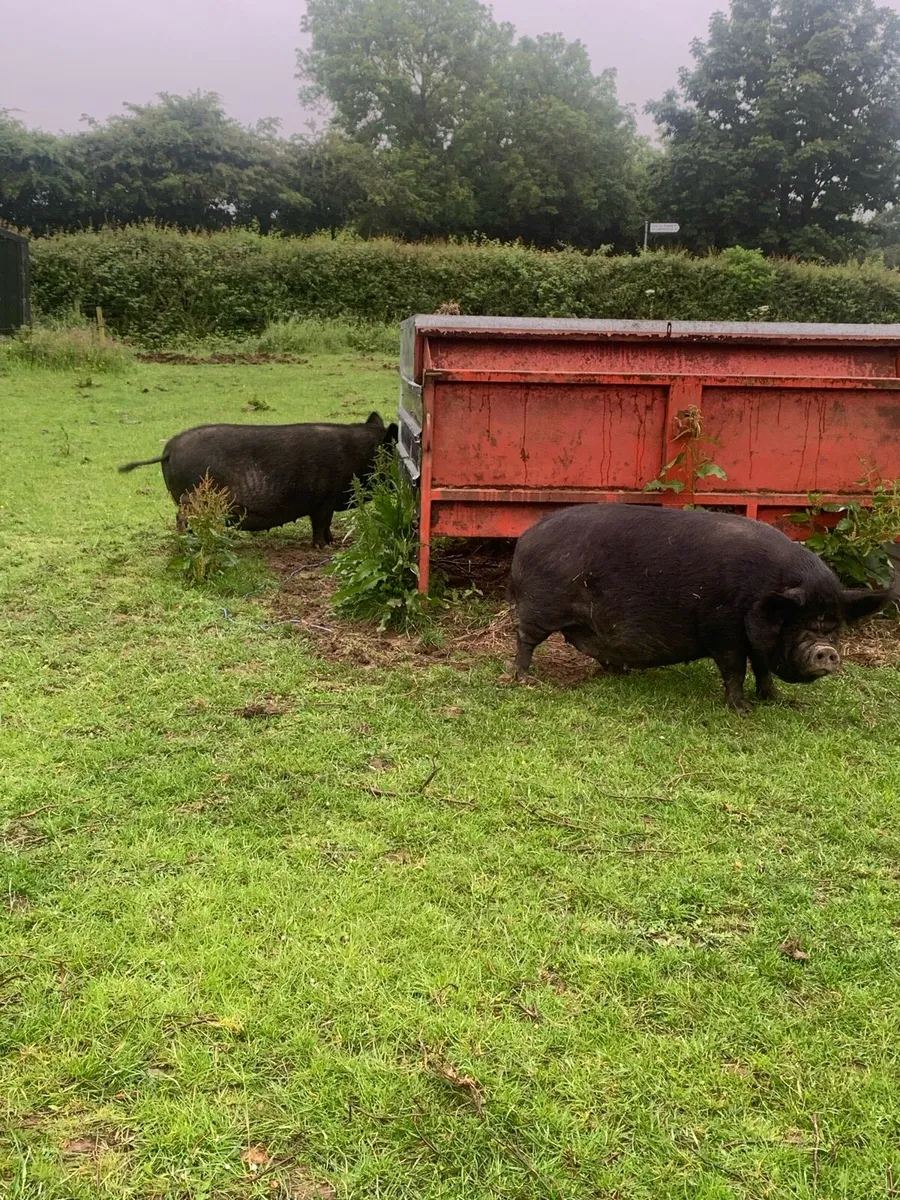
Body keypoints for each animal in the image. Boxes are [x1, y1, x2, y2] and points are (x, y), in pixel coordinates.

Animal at [119, 412, 398, 546]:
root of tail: (169, 449)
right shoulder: (324, 500)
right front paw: (324, 547)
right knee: (182, 518)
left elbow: (326, 526)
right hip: (193, 498)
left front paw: (334, 542)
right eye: (395, 455)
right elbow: (320, 524)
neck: (359, 455)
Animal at [507, 503, 896, 712]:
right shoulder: (723, 630)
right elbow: (735, 669)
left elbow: (763, 669)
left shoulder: (753, 639)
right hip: (542, 607)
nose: (826, 651)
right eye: (798, 624)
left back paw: (619, 672)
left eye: (834, 627)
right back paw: (524, 679)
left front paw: (778, 700)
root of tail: (526, 538)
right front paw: (743, 710)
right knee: (524, 639)